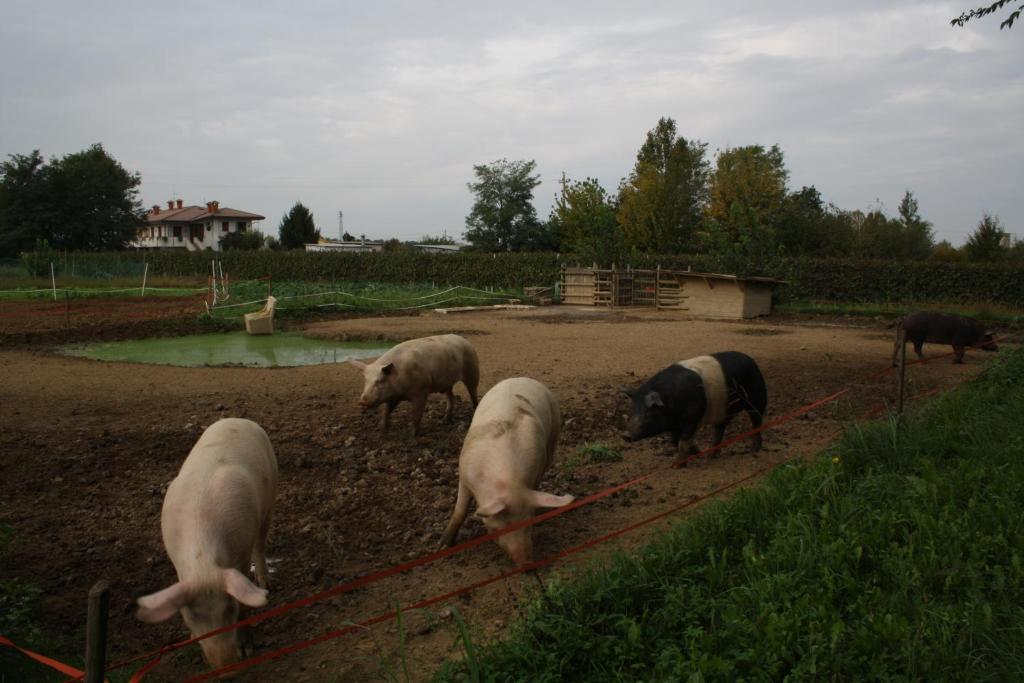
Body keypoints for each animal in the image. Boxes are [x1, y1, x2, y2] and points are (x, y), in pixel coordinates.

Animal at [138, 419, 280, 671]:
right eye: (190, 616)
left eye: (230, 608)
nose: (224, 666)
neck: (202, 561)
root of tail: (238, 419)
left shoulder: (241, 554)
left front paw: (246, 650)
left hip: (270, 493)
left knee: (261, 542)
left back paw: (265, 583)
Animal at [348, 333, 479, 436]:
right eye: (366, 380)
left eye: (380, 380)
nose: (362, 401)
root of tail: (464, 340)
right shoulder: (394, 397)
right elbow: (386, 411)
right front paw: (383, 430)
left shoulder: (421, 392)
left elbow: (416, 414)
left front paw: (412, 435)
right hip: (447, 383)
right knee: (451, 398)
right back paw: (444, 421)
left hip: (472, 370)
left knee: (473, 394)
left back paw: (473, 412)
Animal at [436, 376, 573, 565]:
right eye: (506, 524)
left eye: (529, 522)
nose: (527, 563)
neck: (508, 482)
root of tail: (523, 378)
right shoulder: (464, 475)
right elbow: (460, 511)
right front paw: (443, 547)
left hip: (554, 436)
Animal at [614, 352, 770, 464]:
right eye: (633, 410)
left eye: (648, 413)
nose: (625, 435)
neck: (671, 402)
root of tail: (751, 360)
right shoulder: (675, 423)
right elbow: (675, 441)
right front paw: (697, 452)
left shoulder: (693, 415)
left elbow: (683, 440)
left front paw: (677, 465)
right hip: (725, 409)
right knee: (719, 428)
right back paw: (711, 456)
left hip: (757, 397)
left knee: (756, 420)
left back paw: (754, 450)